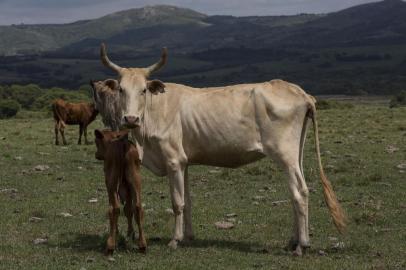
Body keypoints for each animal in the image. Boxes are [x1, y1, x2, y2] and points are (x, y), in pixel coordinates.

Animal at [95, 43, 346, 255]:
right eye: (121, 90)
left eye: (143, 90)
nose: (130, 118)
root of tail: (299, 92)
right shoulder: (184, 162)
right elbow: (187, 201)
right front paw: (188, 237)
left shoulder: (173, 160)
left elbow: (177, 202)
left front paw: (175, 240)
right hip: (297, 155)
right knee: (296, 193)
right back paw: (293, 241)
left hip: (285, 155)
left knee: (300, 192)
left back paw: (301, 245)